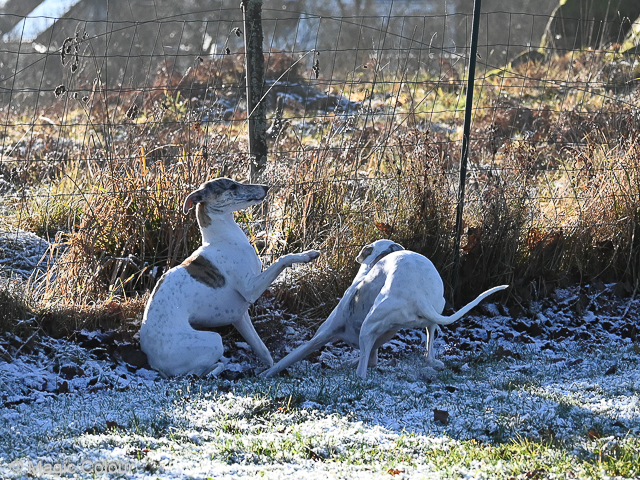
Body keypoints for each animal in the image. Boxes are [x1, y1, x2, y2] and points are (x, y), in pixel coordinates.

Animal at [140, 178, 320, 376]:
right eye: (232, 186)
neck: (223, 239)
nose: (266, 187)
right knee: (198, 373)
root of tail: (153, 361)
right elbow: (283, 258)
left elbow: (263, 350)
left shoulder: (240, 317)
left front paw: (270, 371)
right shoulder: (250, 289)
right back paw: (219, 367)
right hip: (213, 340)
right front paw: (307, 255)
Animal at [262, 240, 508, 378]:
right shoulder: (374, 347)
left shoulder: (320, 337)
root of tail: (418, 294)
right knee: (428, 350)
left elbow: (286, 359)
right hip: (430, 320)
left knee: (361, 374)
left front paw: (263, 374)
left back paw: (356, 375)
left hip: (370, 324)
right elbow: (370, 358)